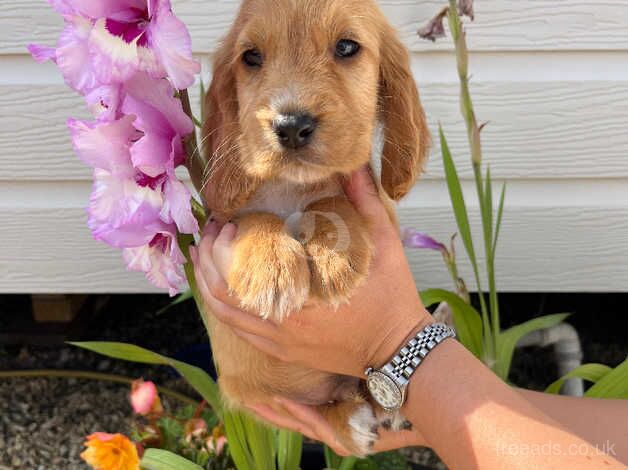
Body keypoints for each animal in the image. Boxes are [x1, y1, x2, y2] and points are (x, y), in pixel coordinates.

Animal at [204, 0, 430, 456]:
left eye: (346, 47)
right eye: (251, 57)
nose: (290, 125)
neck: (292, 186)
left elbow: (331, 200)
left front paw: (334, 258)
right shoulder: (222, 220)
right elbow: (255, 217)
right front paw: (269, 269)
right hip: (249, 392)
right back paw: (351, 421)